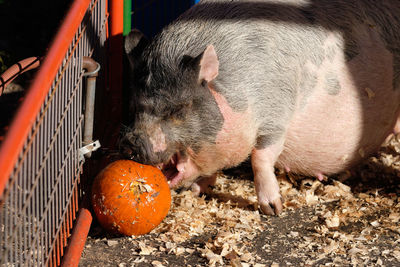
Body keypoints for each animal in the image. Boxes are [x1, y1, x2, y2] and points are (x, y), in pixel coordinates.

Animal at [120, 0, 400, 217]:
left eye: (178, 109)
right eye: (134, 106)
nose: (131, 141)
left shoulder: (277, 114)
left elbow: (260, 158)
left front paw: (273, 210)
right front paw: (199, 191)